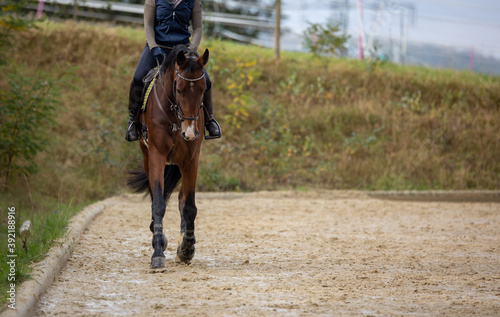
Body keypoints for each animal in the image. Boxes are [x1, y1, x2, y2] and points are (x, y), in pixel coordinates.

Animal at [129, 43, 209, 266]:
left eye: (203, 90)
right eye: (179, 89)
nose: (189, 133)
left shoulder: (191, 159)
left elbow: (189, 205)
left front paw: (186, 248)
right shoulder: (156, 155)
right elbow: (158, 202)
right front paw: (158, 252)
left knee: (182, 198)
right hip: (146, 155)